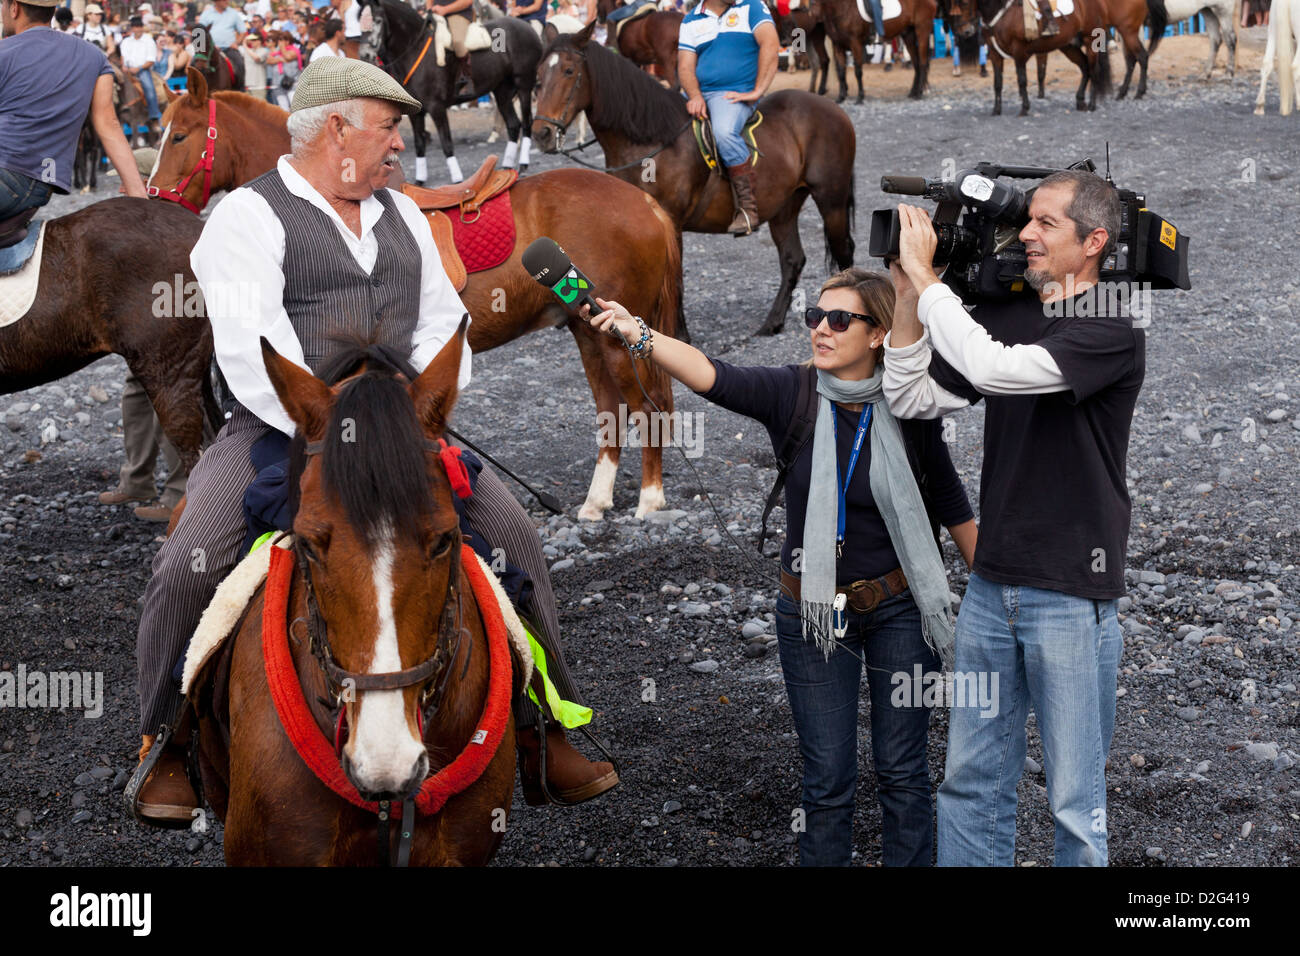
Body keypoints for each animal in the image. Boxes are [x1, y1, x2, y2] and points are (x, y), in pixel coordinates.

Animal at [148, 72, 686, 522]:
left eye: (179, 136)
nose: (154, 195)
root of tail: (644, 202)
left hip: (616, 338)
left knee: (648, 405)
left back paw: (650, 499)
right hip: (588, 329)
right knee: (612, 410)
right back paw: (597, 501)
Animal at [358, 0, 540, 185]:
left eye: (378, 20)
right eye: (359, 21)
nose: (365, 54)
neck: (413, 51)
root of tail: (526, 26)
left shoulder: (436, 107)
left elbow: (446, 143)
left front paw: (458, 180)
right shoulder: (415, 113)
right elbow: (419, 144)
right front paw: (419, 181)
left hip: (524, 86)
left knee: (526, 123)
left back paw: (523, 165)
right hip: (502, 91)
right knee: (513, 125)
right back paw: (507, 168)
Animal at [527, 22, 852, 335]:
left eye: (569, 71)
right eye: (538, 74)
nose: (542, 133)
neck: (651, 142)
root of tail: (832, 108)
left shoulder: (672, 222)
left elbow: (676, 283)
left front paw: (679, 335)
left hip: (831, 201)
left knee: (844, 253)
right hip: (784, 207)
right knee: (792, 259)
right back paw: (772, 323)